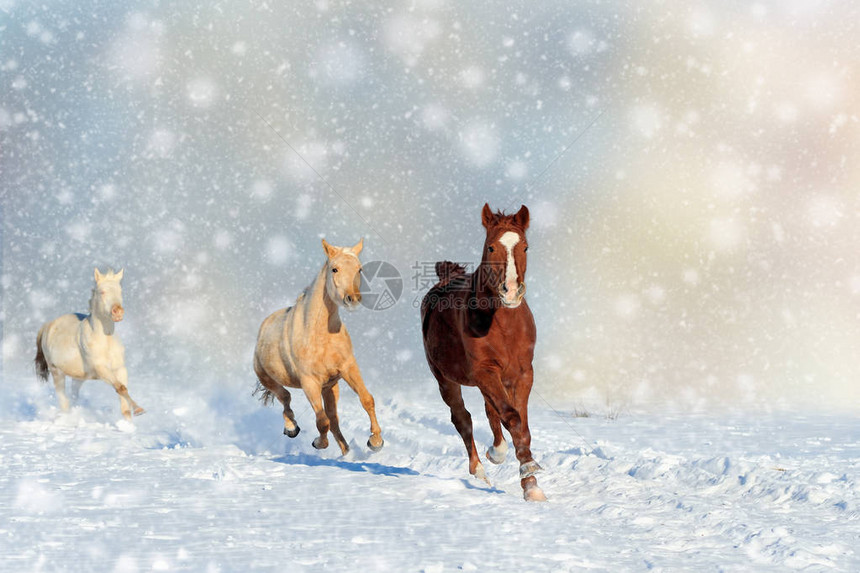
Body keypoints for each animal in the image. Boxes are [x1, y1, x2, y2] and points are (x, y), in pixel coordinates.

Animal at [34, 268, 146, 420]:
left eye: (120, 291)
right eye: (102, 292)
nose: (118, 312)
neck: (105, 341)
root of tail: (48, 325)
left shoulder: (120, 369)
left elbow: (124, 402)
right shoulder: (101, 369)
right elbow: (121, 388)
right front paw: (139, 409)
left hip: (78, 377)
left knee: (74, 396)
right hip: (56, 372)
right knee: (64, 401)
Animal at [254, 239, 384, 454]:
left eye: (359, 269)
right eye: (334, 269)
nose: (353, 299)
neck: (319, 335)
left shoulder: (348, 367)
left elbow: (366, 399)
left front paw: (375, 441)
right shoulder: (309, 382)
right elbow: (321, 421)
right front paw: (318, 443)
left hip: (330, 387)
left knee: (333, 418)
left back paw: (346, 452)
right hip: (268, 379)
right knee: (286, 397)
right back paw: (291, 428)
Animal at [422, 203, 544, 498]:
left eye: (525, 247)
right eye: (491, 247)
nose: (510, 291)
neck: (503, 326)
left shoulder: (523, 373)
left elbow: (520, 422)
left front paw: (531, 485)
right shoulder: (485, 371)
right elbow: (511, 417)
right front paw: (527, 472)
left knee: (490, 411)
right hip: (445, 378)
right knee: (462, 418)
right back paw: (480, 469)